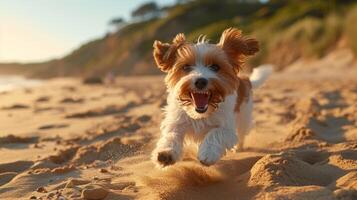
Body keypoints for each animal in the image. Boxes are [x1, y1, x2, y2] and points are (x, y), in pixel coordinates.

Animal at [150, 27, 270, 167]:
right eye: (186, 67)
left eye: (215, 67)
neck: (201, 114)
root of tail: (245, 80)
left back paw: (238, 148)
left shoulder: (227, 128)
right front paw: (166, 153)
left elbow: (215, 133)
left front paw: (208, 152)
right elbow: (171, 135)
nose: (200, 81)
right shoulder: (177, 121)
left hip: (244, 116)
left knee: (241, 134)